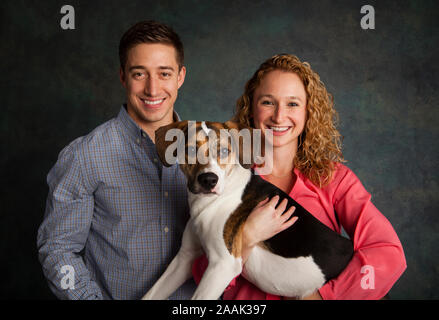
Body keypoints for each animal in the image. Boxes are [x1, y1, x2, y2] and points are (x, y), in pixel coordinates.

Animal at [143, 120, 356, 300]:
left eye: (224, 151)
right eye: (191, 149)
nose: (209, 180)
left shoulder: (223, 265)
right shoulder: (184, 259)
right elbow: (151, 294)